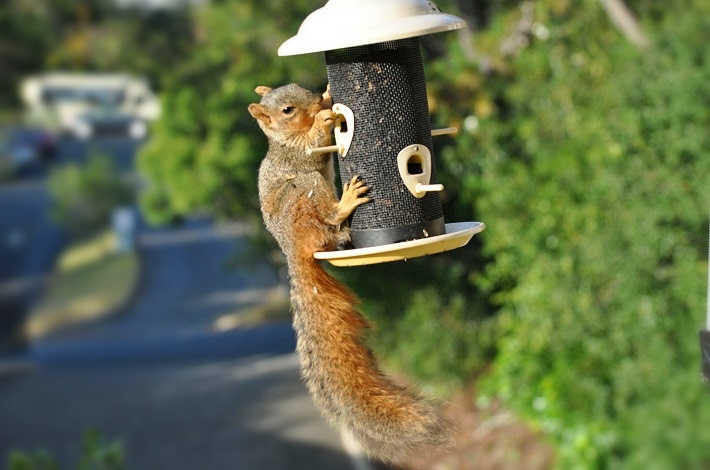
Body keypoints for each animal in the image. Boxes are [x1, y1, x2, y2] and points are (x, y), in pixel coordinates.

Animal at [248, 83, 454, 462]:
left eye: (299, 88)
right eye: (287, 110)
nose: (317, 101)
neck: (283, 140)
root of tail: (293, 252)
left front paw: (329, 98)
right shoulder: (297, 158)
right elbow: (312, 150)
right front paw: (325, 119)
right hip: (303, 195)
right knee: (323, 212)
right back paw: (344, 205)